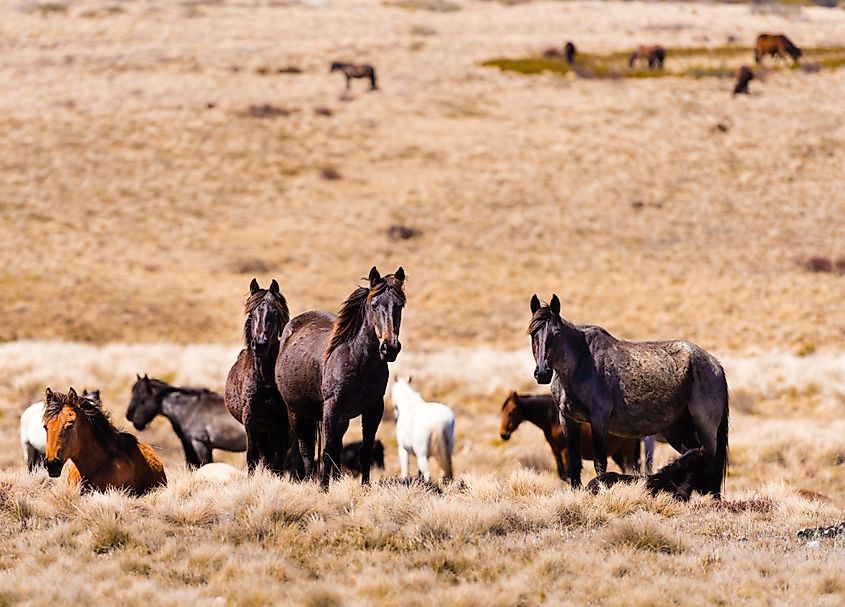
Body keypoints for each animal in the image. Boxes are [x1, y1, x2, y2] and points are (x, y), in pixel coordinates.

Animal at [224, 280, 294, 476]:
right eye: (252, 313)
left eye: (275, 312)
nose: (260, 345)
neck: (265, 379)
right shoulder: (251, 422)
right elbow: (252, 457)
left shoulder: (282, 425)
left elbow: (279, 461)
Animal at [274, 266, 406, 490]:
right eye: (374, 305)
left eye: (400, 305)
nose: (390, 348)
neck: (358, 359)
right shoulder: (331, 407)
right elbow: (326, 451)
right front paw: (323, 489)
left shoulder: (373, 409)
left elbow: (364, 450)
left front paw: (364, 487)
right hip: (297, 413)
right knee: (306, 450)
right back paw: (309, 481)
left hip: (340, 419)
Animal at [494, 392, 640, 482]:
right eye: (502, 411)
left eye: (511, 412)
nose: (503, 434)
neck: (553, 419)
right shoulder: (556, 450)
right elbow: (563, 474)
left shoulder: (565, 450)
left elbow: (568, 474)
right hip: (617, 454)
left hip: (626, 451)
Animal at [528, 294, 724, 498]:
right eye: (533, 334)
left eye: (557, 333)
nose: (542, 373)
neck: (581, 364)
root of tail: (714, 364)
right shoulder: (567, 419)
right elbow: (574, 461)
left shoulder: (599, 420)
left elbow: (600, 462)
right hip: (677, 429)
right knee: (694, 454)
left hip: (706, 428)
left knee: (708, 460)